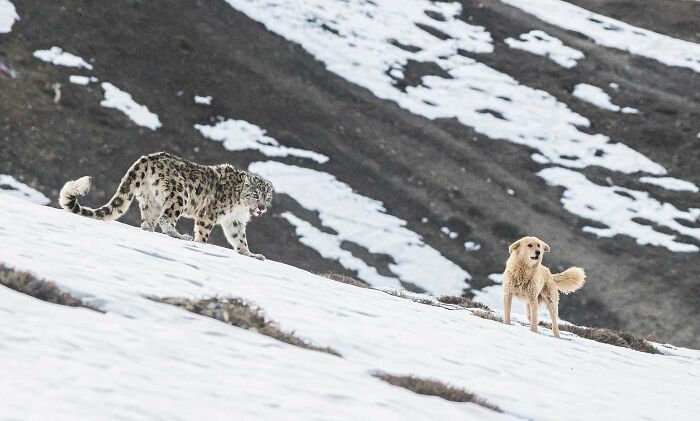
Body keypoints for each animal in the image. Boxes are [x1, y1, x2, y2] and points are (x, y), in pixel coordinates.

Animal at [59, 152, 273, 260]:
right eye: (256, 194)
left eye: (268, 197)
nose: (262, 207)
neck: (240, 206)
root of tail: (147, 157)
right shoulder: (209, 215)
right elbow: (203, 232)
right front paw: (202, 244)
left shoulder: (235, 221)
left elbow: (240, 239)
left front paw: (251, 254)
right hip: (180, 195)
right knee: (166, 218)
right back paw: (180, 235)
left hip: (150, 200)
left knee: (148, 223)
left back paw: (152, 230)